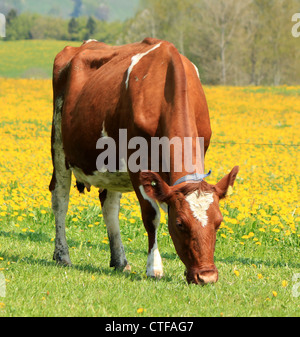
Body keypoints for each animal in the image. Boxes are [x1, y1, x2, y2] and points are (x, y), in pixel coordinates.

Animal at [49, 36, 239, 284]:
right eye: (180, 224)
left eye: (219, 221)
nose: (207, 276)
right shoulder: (137, 166)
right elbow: (152, 216)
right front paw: (154, 267)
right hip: (59, 146)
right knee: (60, 199)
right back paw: (62, 255)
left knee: (110, 207)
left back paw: (120, 260)